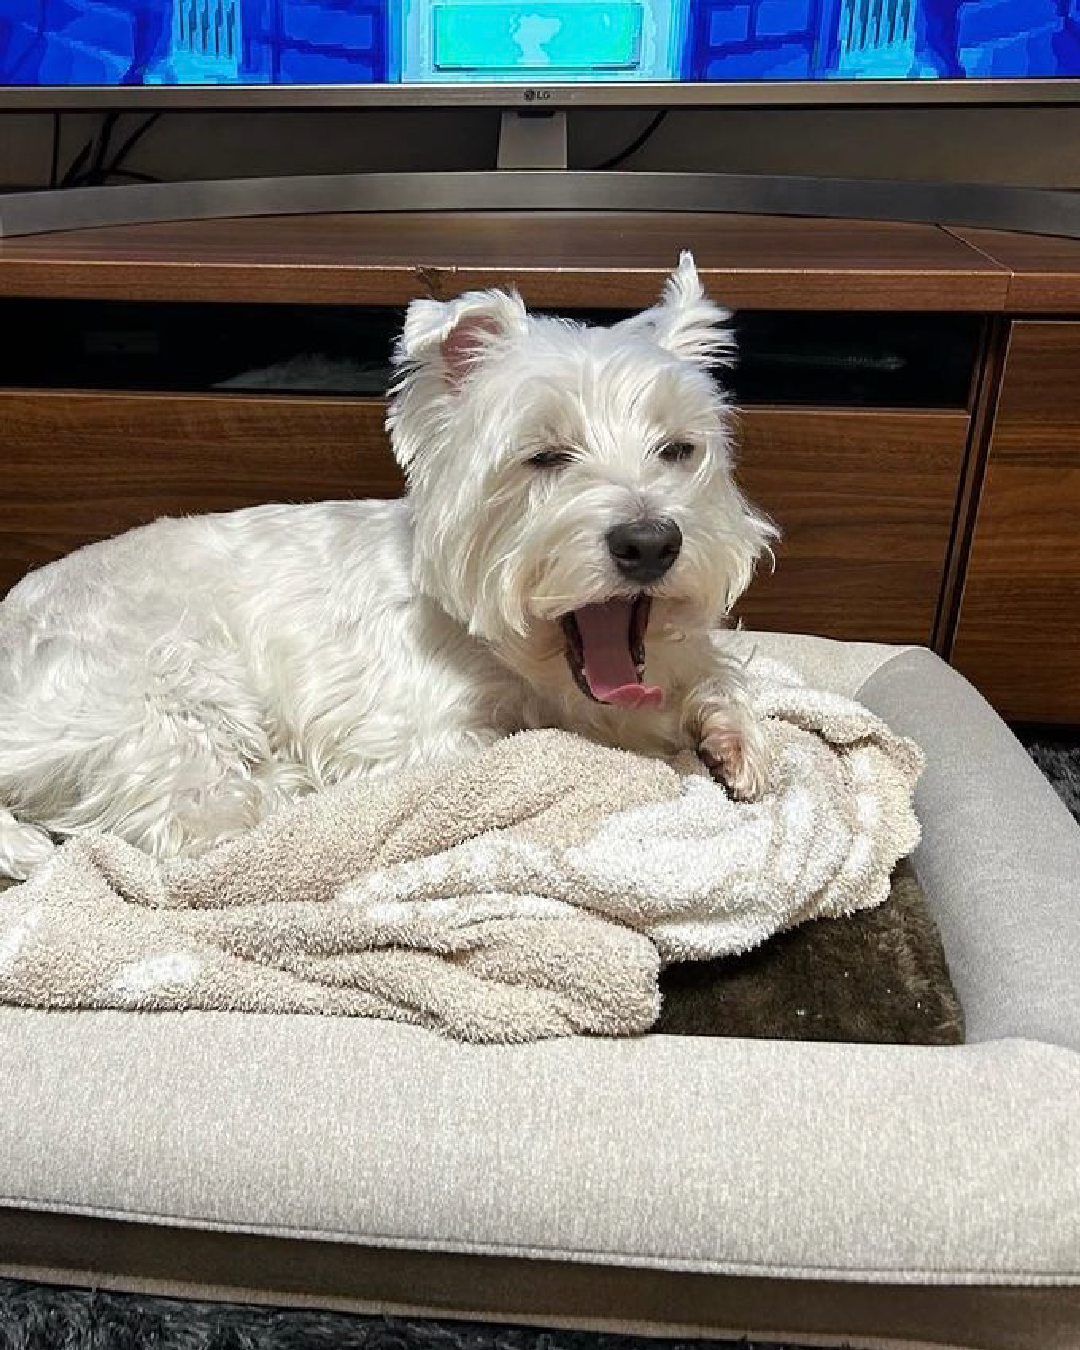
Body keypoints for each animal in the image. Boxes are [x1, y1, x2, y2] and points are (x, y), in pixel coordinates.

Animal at [0, 252, 777, 885]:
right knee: (208, 823)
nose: (650, 543)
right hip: (170, 702)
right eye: (545, 456)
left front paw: (734, 740)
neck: (515, 655)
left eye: (679, 450)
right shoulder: (419, 737)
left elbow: (714, 673)